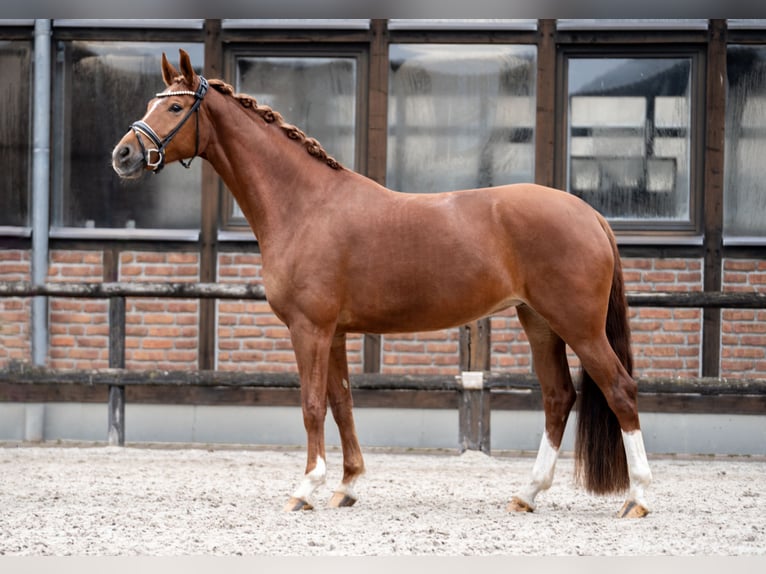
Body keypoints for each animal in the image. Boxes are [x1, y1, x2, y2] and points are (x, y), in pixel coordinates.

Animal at [114, 49, 656, 520]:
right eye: (151, 104)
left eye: (176, 106)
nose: (123, 155)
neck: (306, 205)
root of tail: (590, 214)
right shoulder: (333, 333)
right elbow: (342, 403)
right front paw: (347, 486)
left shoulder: (309, 329)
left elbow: (312, 405)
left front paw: (305, 488)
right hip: (540, 322)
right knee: (558, 397)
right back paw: (527, 494)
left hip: (579, 326)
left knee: (619, 389)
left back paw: (638, 498)